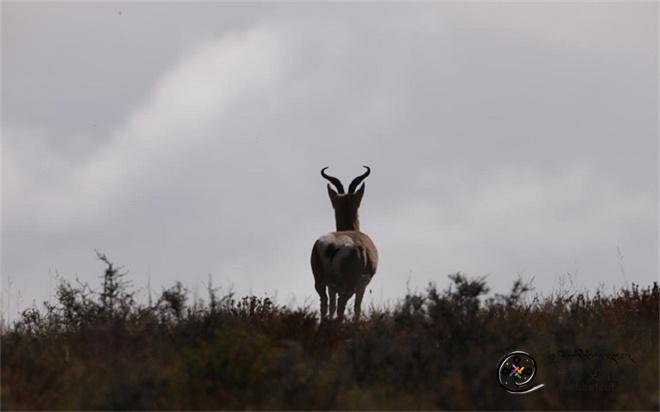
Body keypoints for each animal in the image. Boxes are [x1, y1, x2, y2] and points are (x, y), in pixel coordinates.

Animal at [310, 166, 376, 320]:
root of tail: (333, 246)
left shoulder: (332, 286)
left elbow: (332, 307)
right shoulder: (361, 286)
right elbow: (357, 309)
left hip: (320, 282)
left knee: (325, 304)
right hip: (348, 287)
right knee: (341, 305)